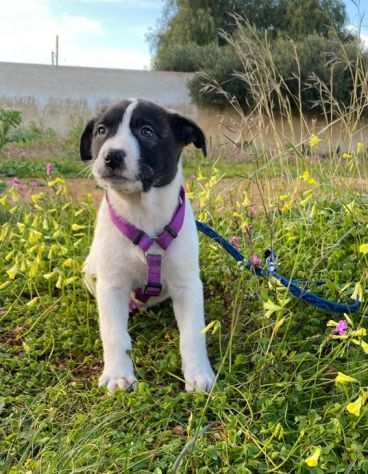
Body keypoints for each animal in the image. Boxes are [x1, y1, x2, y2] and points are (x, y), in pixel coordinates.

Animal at [79, 100, 214, 392]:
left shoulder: (187, 285)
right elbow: (114, 334)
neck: (142, 212)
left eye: (147, 131)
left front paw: (199, 373)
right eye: (101, 130)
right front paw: (118, 375)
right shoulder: (112, 286)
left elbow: (193, 334)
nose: (111, 156)